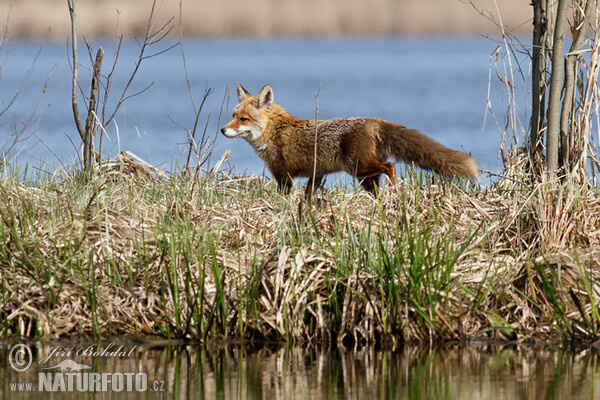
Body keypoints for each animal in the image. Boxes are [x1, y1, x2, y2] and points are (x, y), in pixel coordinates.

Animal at [220, 83, 478, 196]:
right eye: (233, 116)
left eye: (243, 119)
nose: (222, 130)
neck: (274, 131)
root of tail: (373, 120)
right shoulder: (316, 174)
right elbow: (309, 195)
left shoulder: (283, 175)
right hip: (365, 177)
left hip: (358, 167)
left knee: (391, 166)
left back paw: (395, 191)